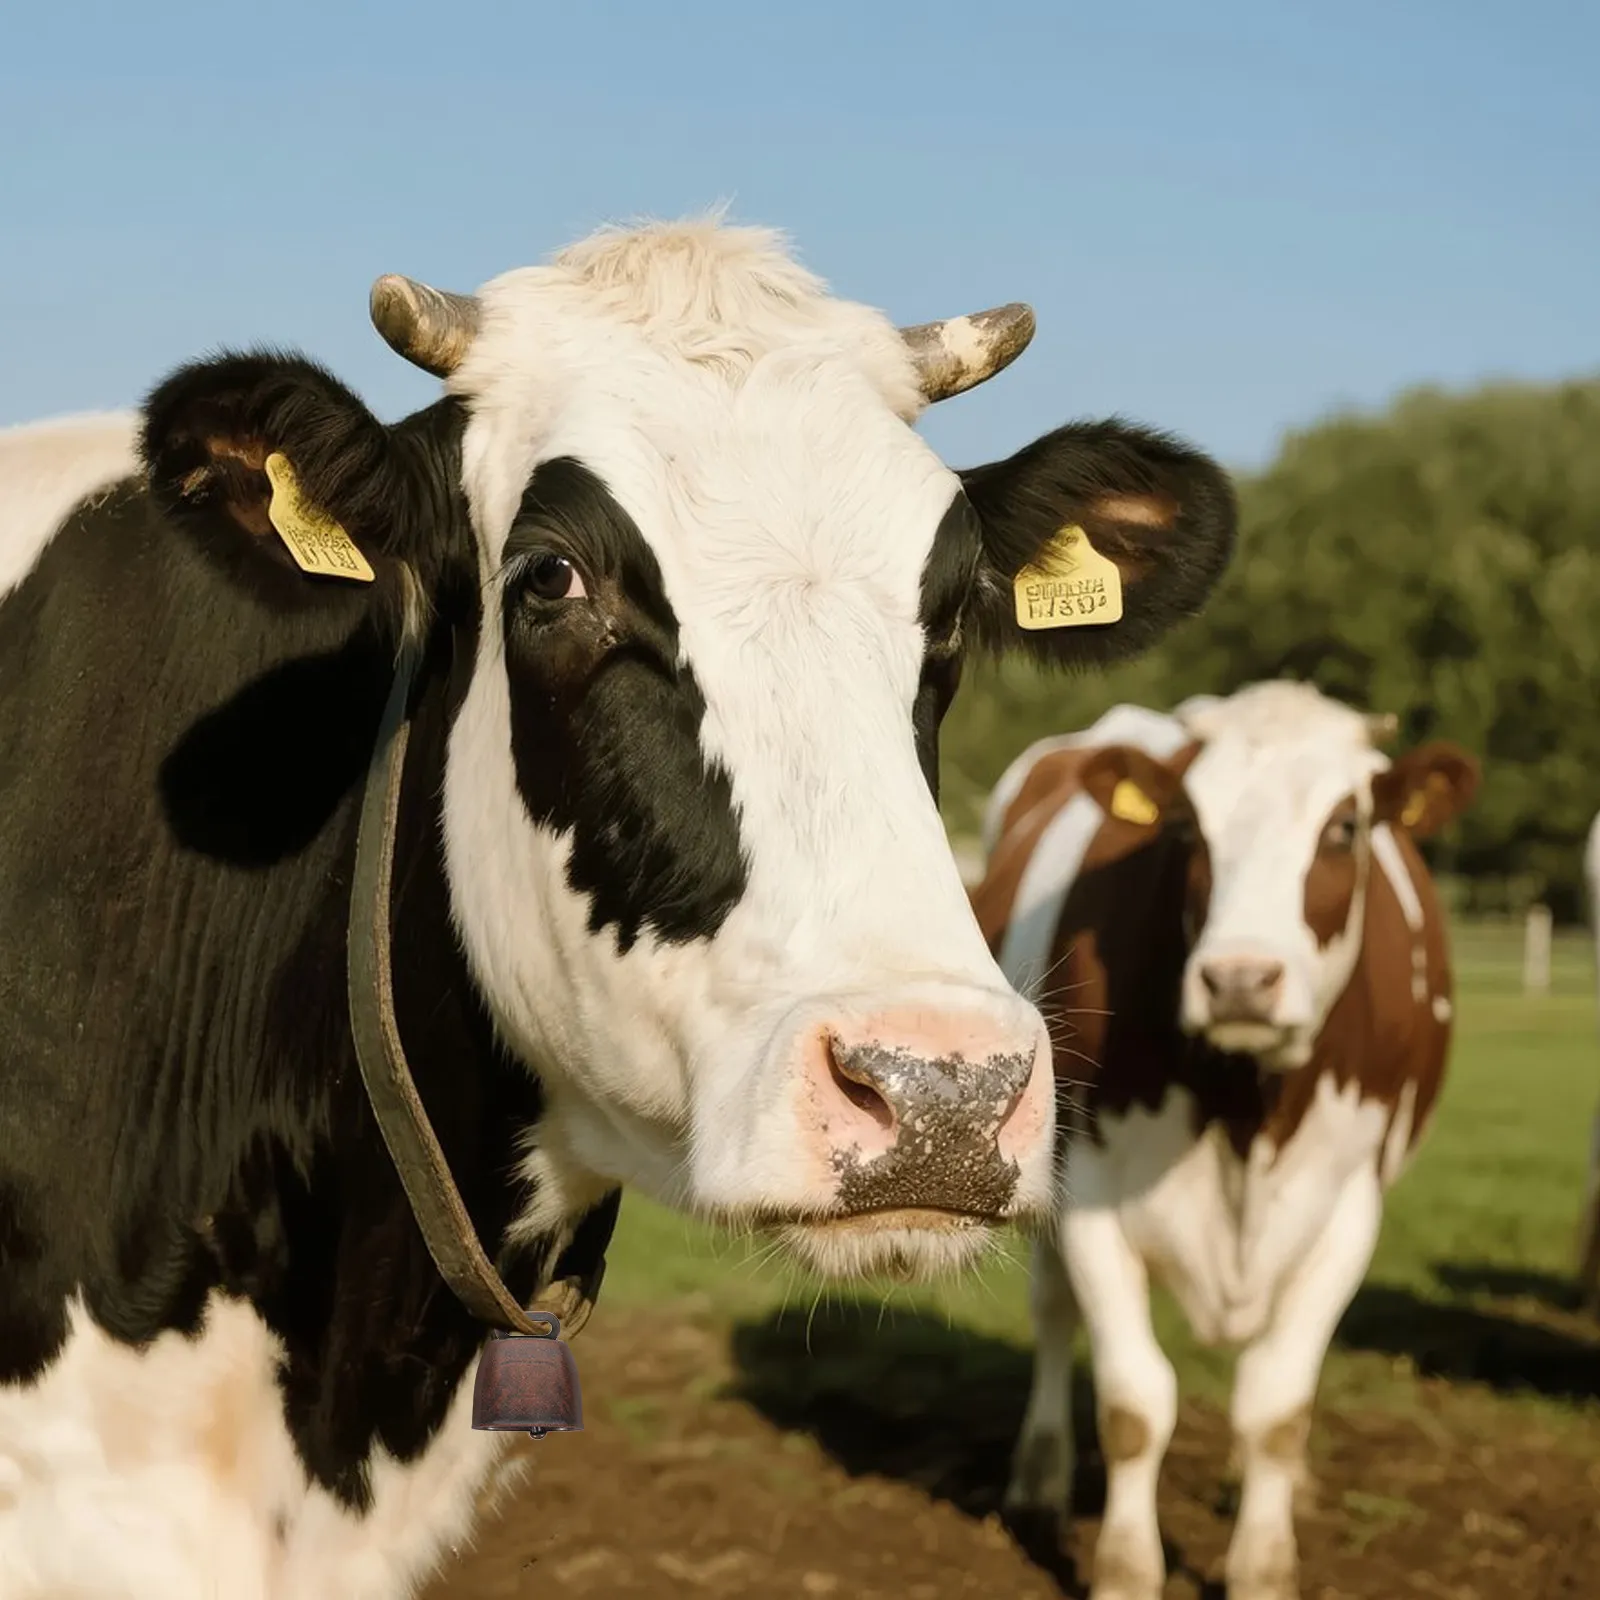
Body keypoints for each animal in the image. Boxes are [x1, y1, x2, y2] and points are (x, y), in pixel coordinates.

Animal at [974, 681, 1478, 1600]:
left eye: (1344, 826)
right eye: (1187, 828)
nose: (1240, 979)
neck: (1246, 1109)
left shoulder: (1347, 1213)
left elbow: (1276, 1409)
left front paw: (1263, 1564)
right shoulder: (1091, 1196)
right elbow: (1135, 1405)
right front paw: (1126, 1571)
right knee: (1054, 1313)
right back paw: (1039, 1480)